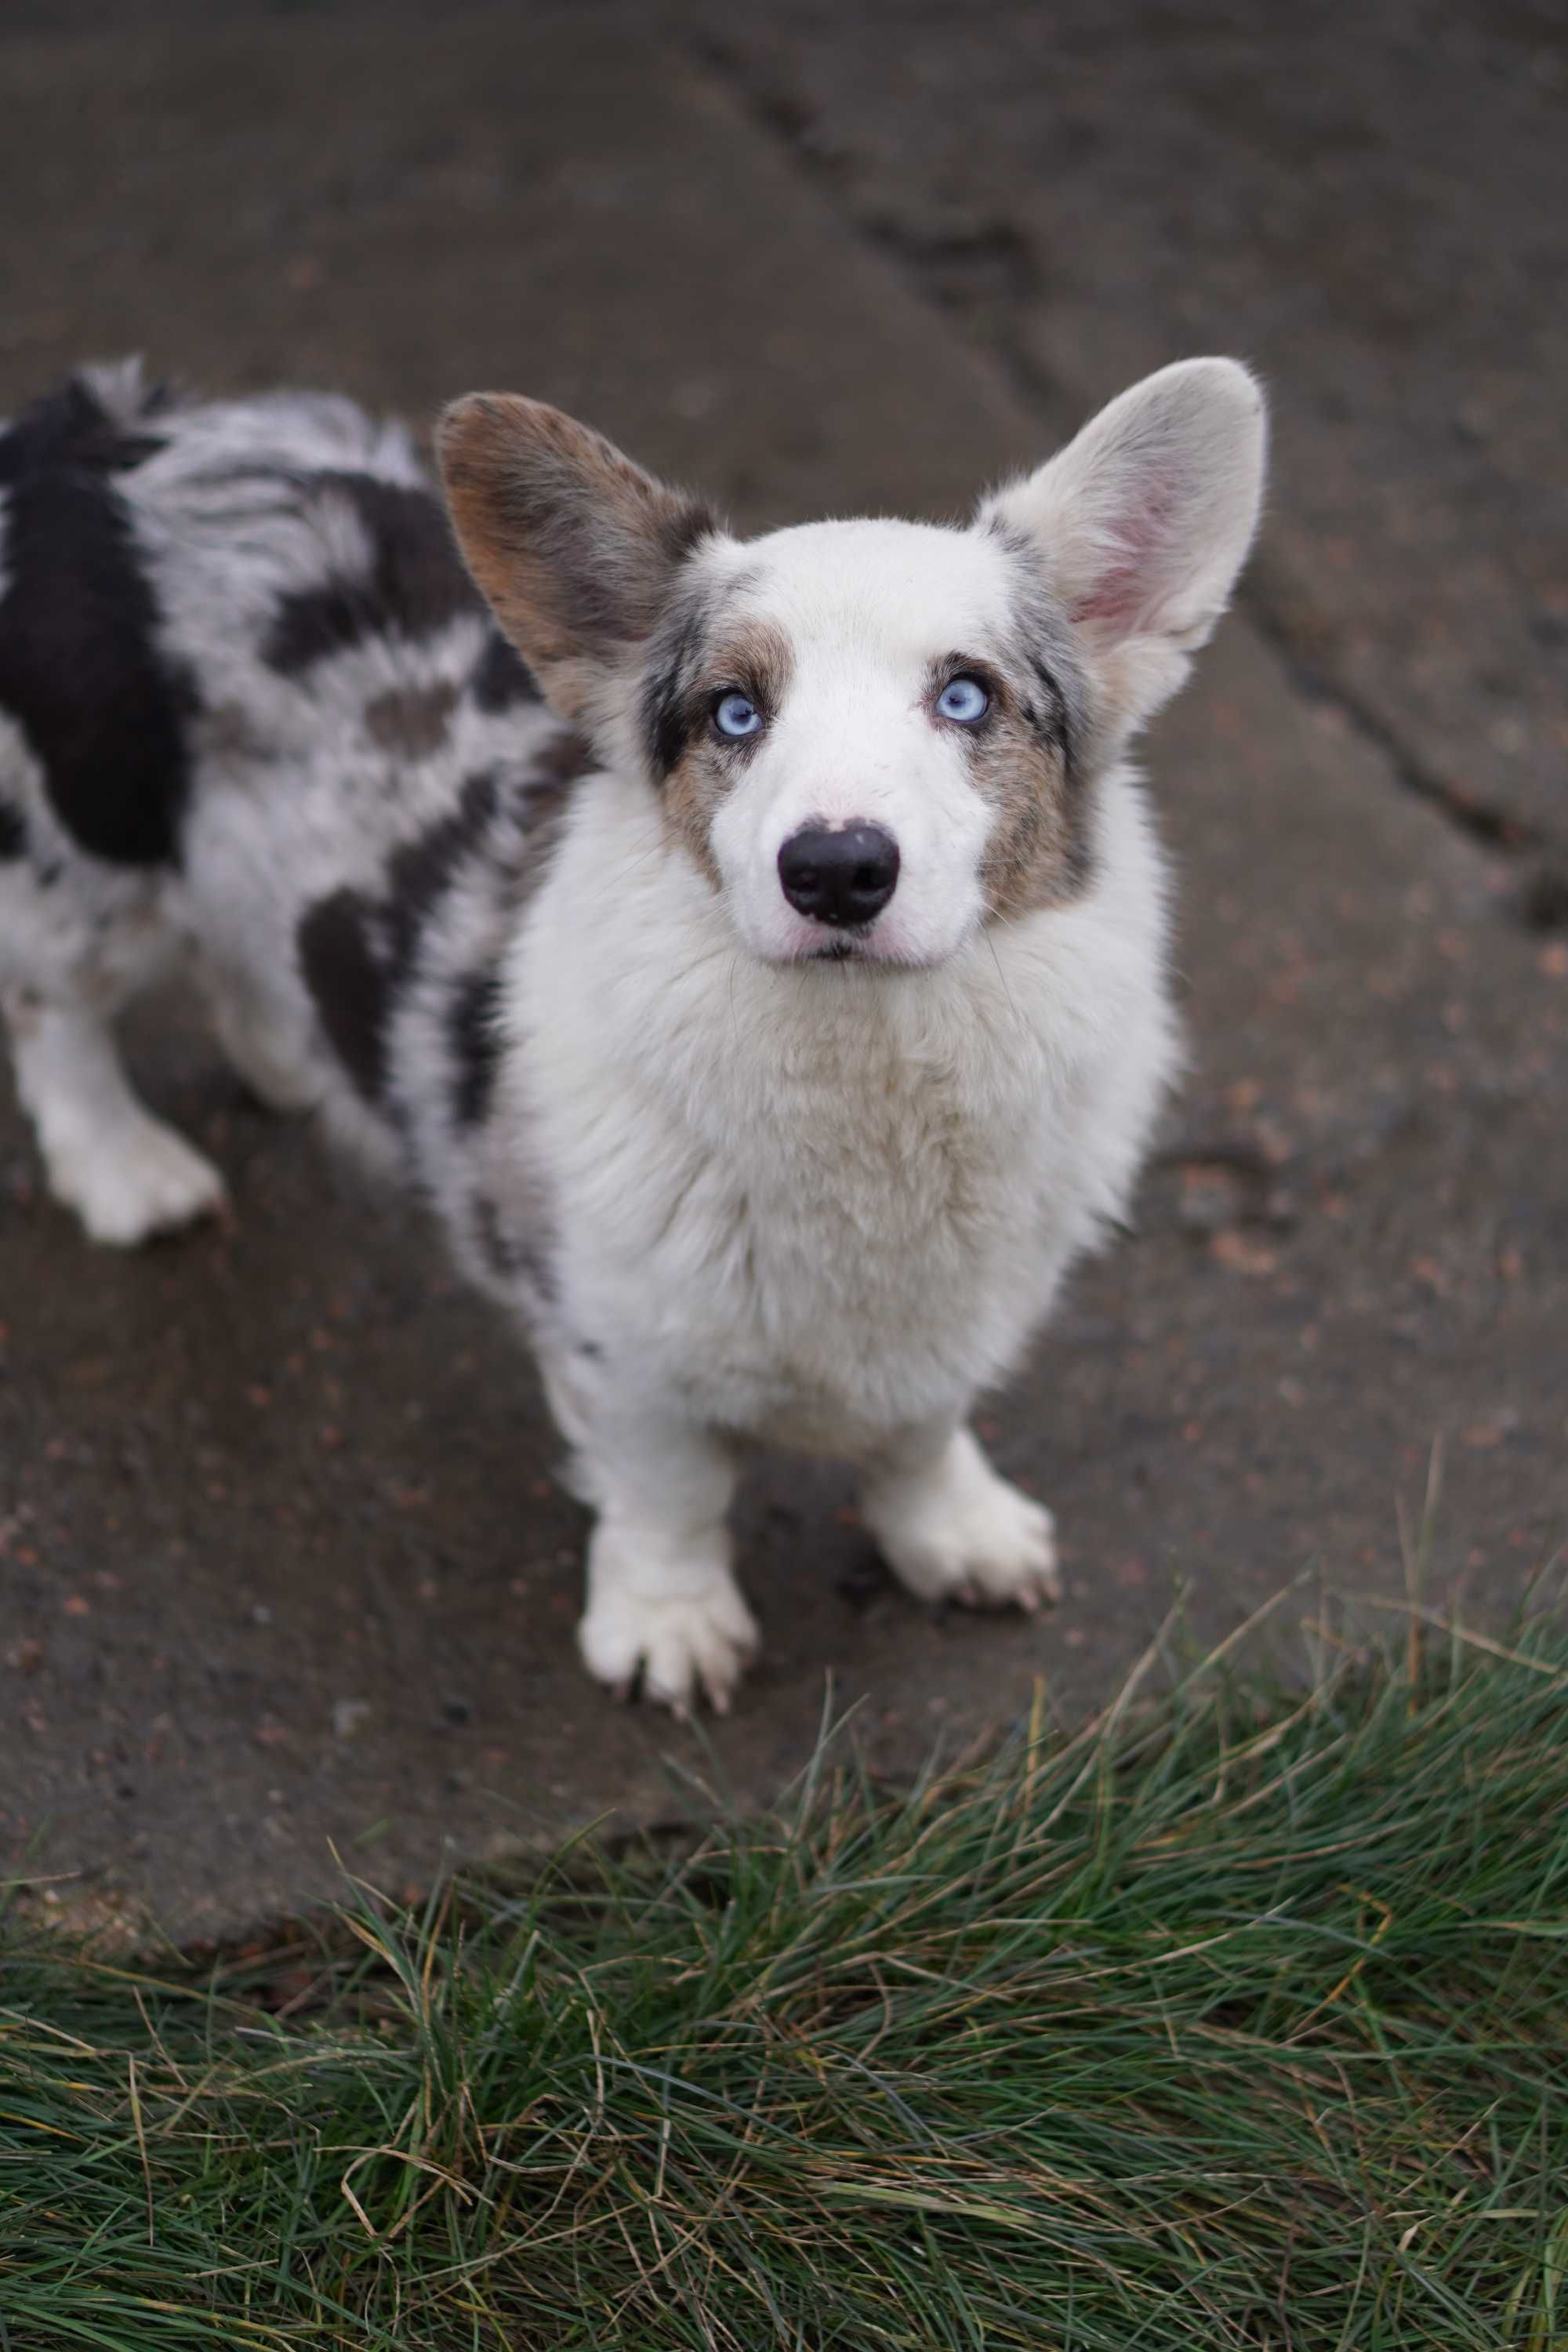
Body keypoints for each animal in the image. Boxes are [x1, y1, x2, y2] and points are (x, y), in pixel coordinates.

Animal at [0, 348, 1269, 1712]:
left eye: (968, 696)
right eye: (733, 713)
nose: (834, 870)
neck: (865, 1070)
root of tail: (94, 423)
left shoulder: (958, 1320)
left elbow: (920, 1438)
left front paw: (959, 1538)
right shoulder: (621, 1343)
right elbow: (673, 1494)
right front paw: (669, 1631)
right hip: (90, 858)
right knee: (55, 1010)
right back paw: (125, 1168)